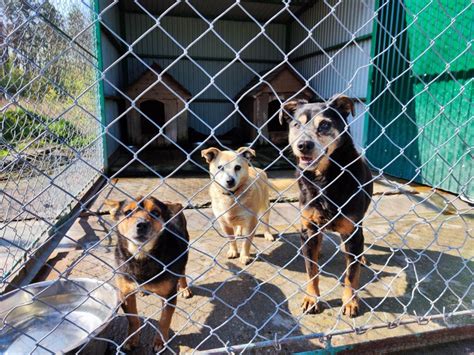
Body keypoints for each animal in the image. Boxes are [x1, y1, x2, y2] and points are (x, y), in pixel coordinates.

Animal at [105, 197, 193, 354]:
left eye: (155, 213)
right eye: (128, 212)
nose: (141, 224)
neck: (141, 257)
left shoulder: (169, 295)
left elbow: (164, 320)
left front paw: (160, 342)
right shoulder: (125, 293)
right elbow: (133, 319)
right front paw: (131, 340)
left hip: (184, 251)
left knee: (182, 272)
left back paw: (184, 288)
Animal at [280, 95, 372, 320]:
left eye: (324, 125)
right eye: (296, 125)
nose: (304, 145)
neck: (325, 179)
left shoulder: (352, 232)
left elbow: (351, 274)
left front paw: (350, 302)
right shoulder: (308, 227)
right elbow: (311, 270)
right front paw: (312, 299)